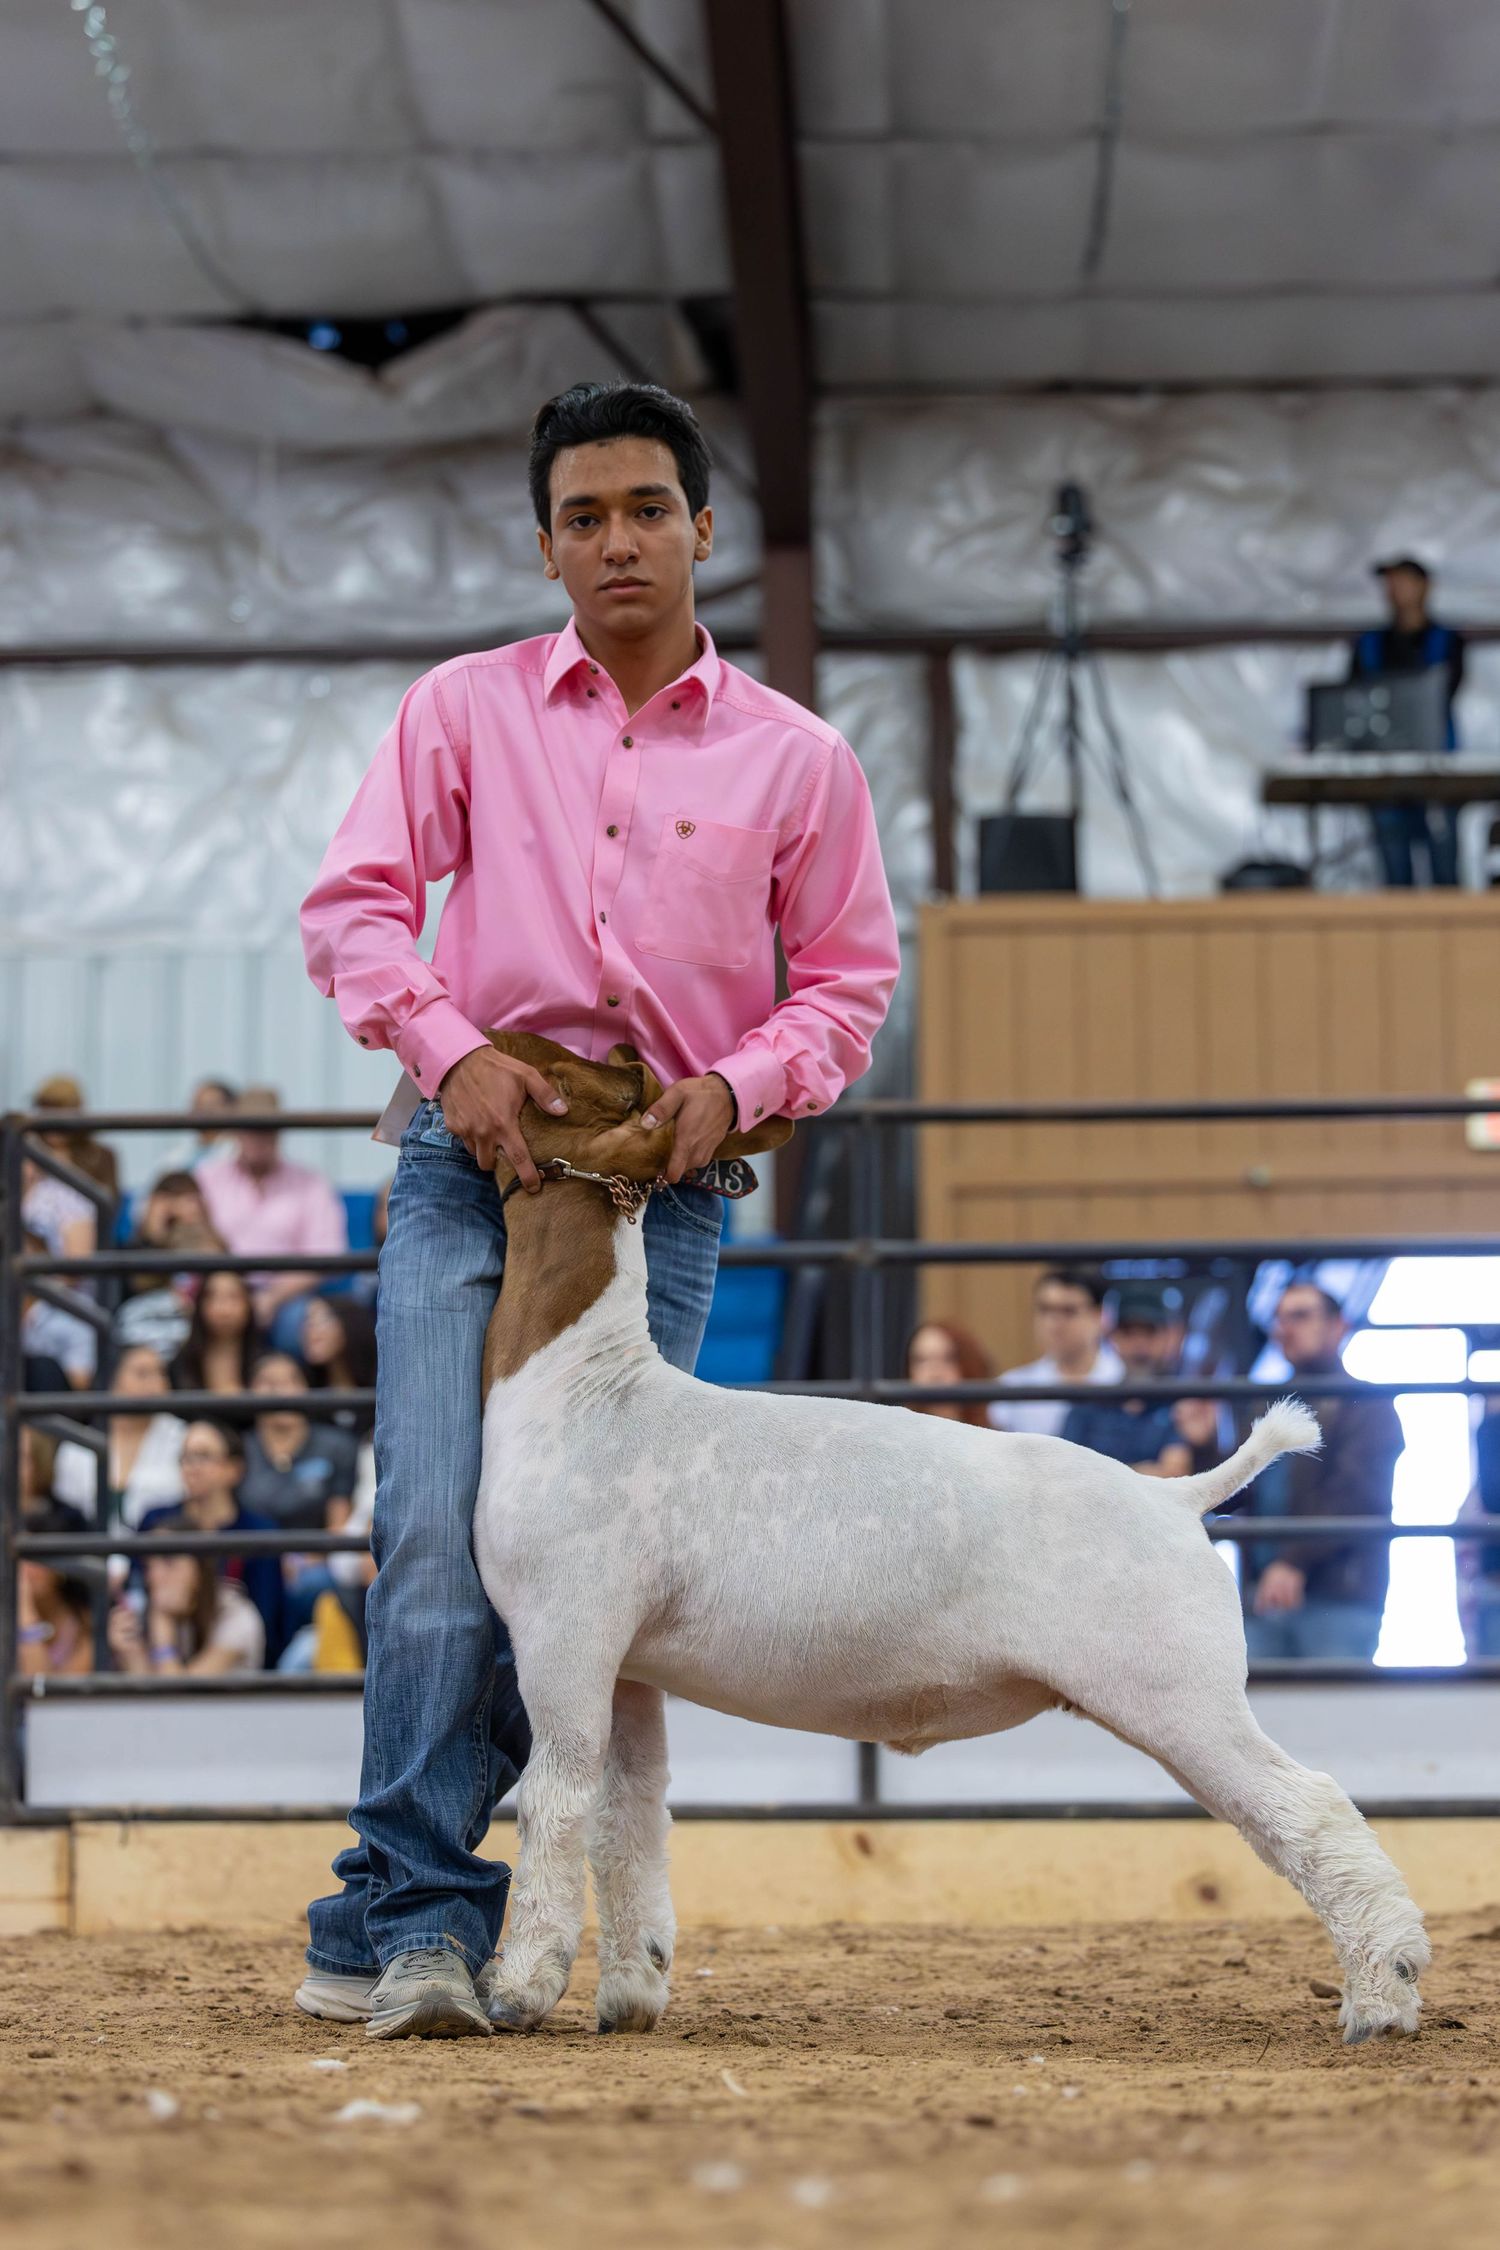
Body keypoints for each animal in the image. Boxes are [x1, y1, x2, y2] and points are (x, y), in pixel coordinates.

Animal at [471, 1033, 1428, 2047]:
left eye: (558, 1078)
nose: (485, 1059)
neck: (584, 1387)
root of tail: (1173, 1498)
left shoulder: (565, 1629)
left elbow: (556, 1800)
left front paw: (516, 1990)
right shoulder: (632, 1665)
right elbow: (631, 1818)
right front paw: (631, 1992)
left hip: (1179, 1691)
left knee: (1309, 1808)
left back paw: (1384, 1994)